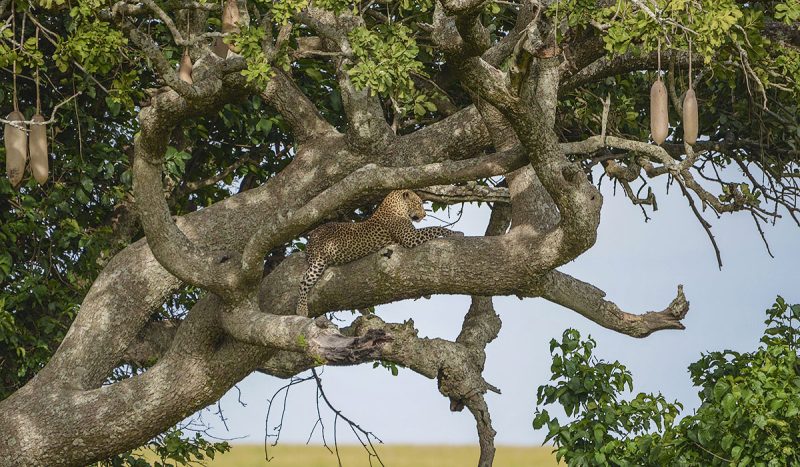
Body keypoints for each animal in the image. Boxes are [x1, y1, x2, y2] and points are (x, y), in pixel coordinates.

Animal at [296, 189, 463, 316]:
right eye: (418, 203)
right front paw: (455, 233)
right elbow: (435, 228)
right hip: (318, 261)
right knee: (303, 282)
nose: (424, 215)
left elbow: (433, 228)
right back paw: (301, 309)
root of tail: (312, 235)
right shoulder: (410, 238)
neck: (396, 208)